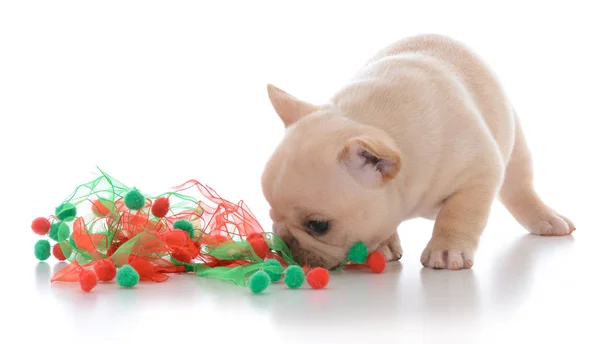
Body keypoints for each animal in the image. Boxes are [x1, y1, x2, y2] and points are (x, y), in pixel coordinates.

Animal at [260, 35, 576, 272]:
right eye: (271, 212)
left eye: (318, 226)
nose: (283, 243)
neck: (372, 123)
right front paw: (385, 244)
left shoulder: (480, 174)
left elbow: (459, 213)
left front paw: (447, 250)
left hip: (515, 145)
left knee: (519, 187)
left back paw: (546, 218)